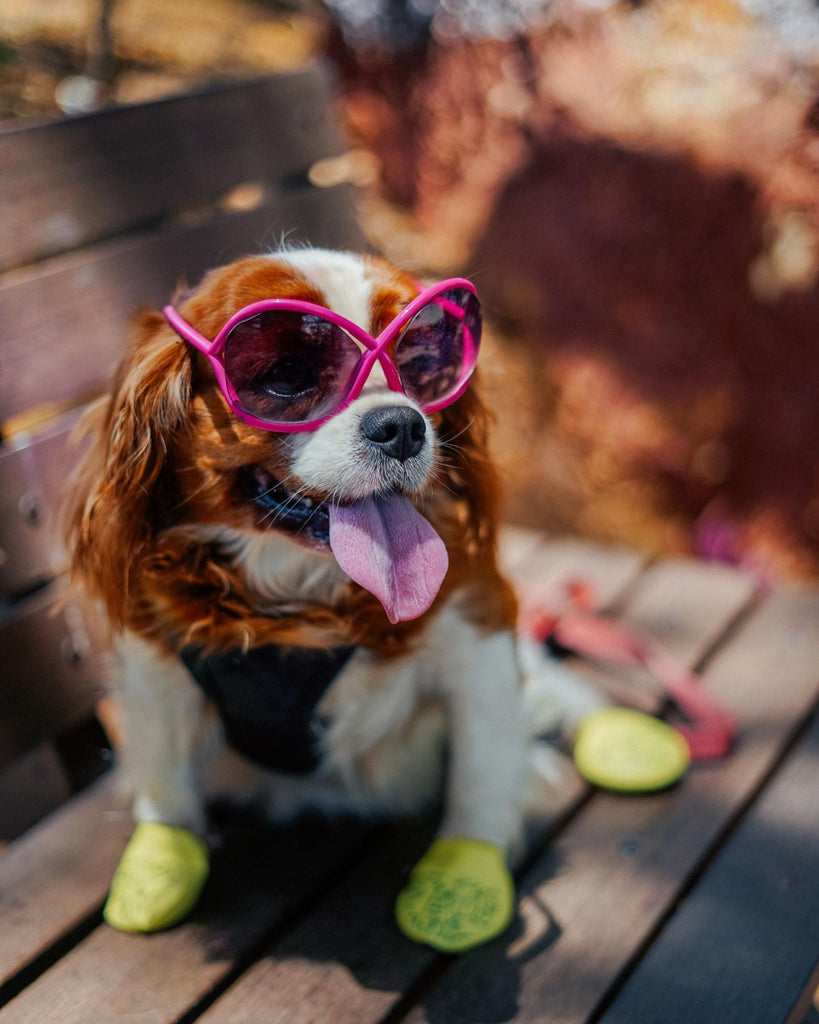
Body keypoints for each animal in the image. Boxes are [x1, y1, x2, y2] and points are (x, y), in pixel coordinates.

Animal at [65, 247, 593, 950]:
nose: (402, 425)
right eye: (287, 373)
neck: (304, 591)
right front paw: (160, 868)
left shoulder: (477, 633)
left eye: (420, 361)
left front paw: (464, 874)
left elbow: (480, 770)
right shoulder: (155, 669)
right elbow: (165, 782)